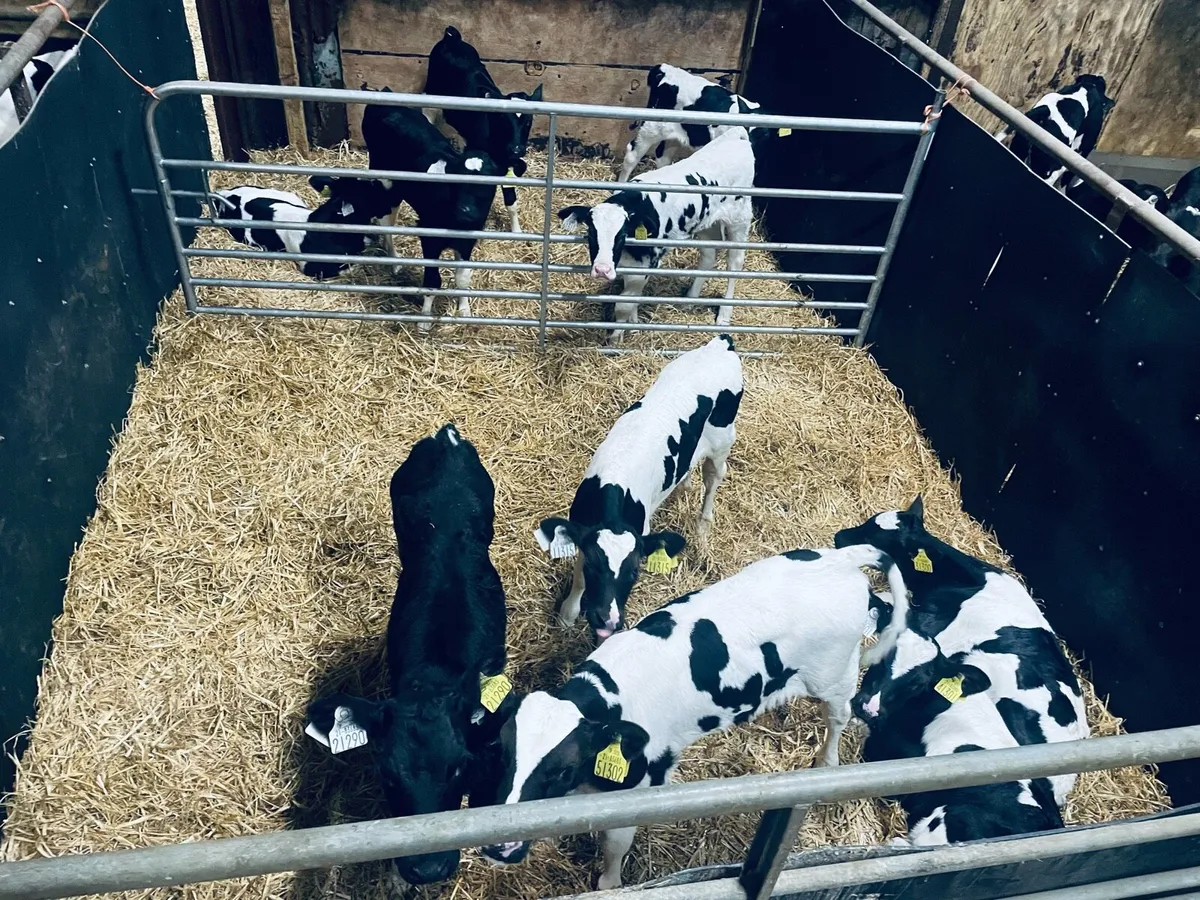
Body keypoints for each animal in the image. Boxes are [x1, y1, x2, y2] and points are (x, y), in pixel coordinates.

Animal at [424, 26, 543, 233]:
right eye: (503, 119)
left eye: (528, 121)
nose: (517, 149)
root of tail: (452, 38)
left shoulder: (507, 162)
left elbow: (511, 201)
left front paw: (517, 231)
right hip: (431, 93)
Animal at [477, 544, 910, 888]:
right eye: (501, 751)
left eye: (563, 769)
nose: (500, 847)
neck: (610, 696)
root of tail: (841, 559)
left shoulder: (637, 791)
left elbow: (615, 847)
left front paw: (608, 884)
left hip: (834, 676)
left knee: (838, 719)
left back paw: (827, 764)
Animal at [535, 335, 742, 642]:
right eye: (594, 565)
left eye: (634, 571)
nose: (607, 619)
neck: (616, 485)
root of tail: (720, 344)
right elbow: (578, 579)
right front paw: (567, 616)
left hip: (722, 441)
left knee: (714, 477)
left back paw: (703, 529)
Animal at [558, 127, 754, 342]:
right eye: (592, 233)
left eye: (621, 235)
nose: (602, 270)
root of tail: (736, 136)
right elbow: (632, 298)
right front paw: (634, 322)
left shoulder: (646, 265)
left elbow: (623, 305)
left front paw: (616, 337)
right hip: (706, 224)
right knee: (708, 257)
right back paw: (690, 299)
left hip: (740, 219)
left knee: (735, 263)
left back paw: (724, 315)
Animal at [619, 63, 778, 182]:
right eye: (744, 127)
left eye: (765, 135)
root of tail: (666, 69)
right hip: (651, 127)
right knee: (632, 155)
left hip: (673, 134)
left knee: (663, 156)